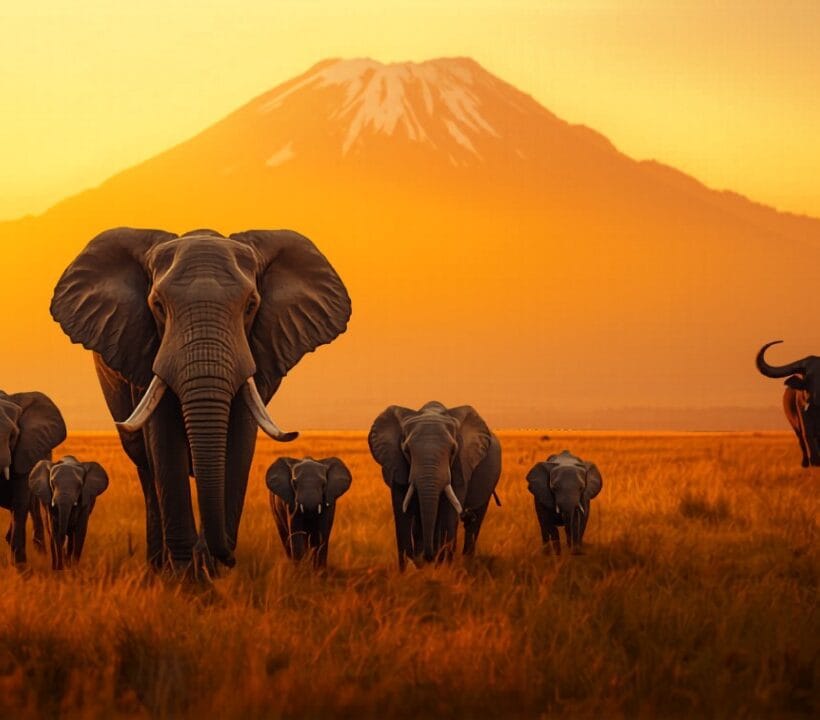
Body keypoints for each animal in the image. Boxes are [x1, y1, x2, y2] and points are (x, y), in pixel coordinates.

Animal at [51, 228, 351, 574]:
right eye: (158, 306)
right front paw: (187, 575)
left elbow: (239, 444)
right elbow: (164, 444)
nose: (229, 558)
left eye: (251, 305)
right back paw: (159, 568)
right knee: (147, 471)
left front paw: (209, 571)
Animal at [369, 401, 501, 569]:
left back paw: (466, 561)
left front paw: (444, 569)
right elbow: (402, 512)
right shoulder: (396, 462)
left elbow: (448, 512)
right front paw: (408, 571)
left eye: (453, 450)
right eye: (406, 450)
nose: (427, 557)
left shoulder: (460, 464)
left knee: (474, 522)